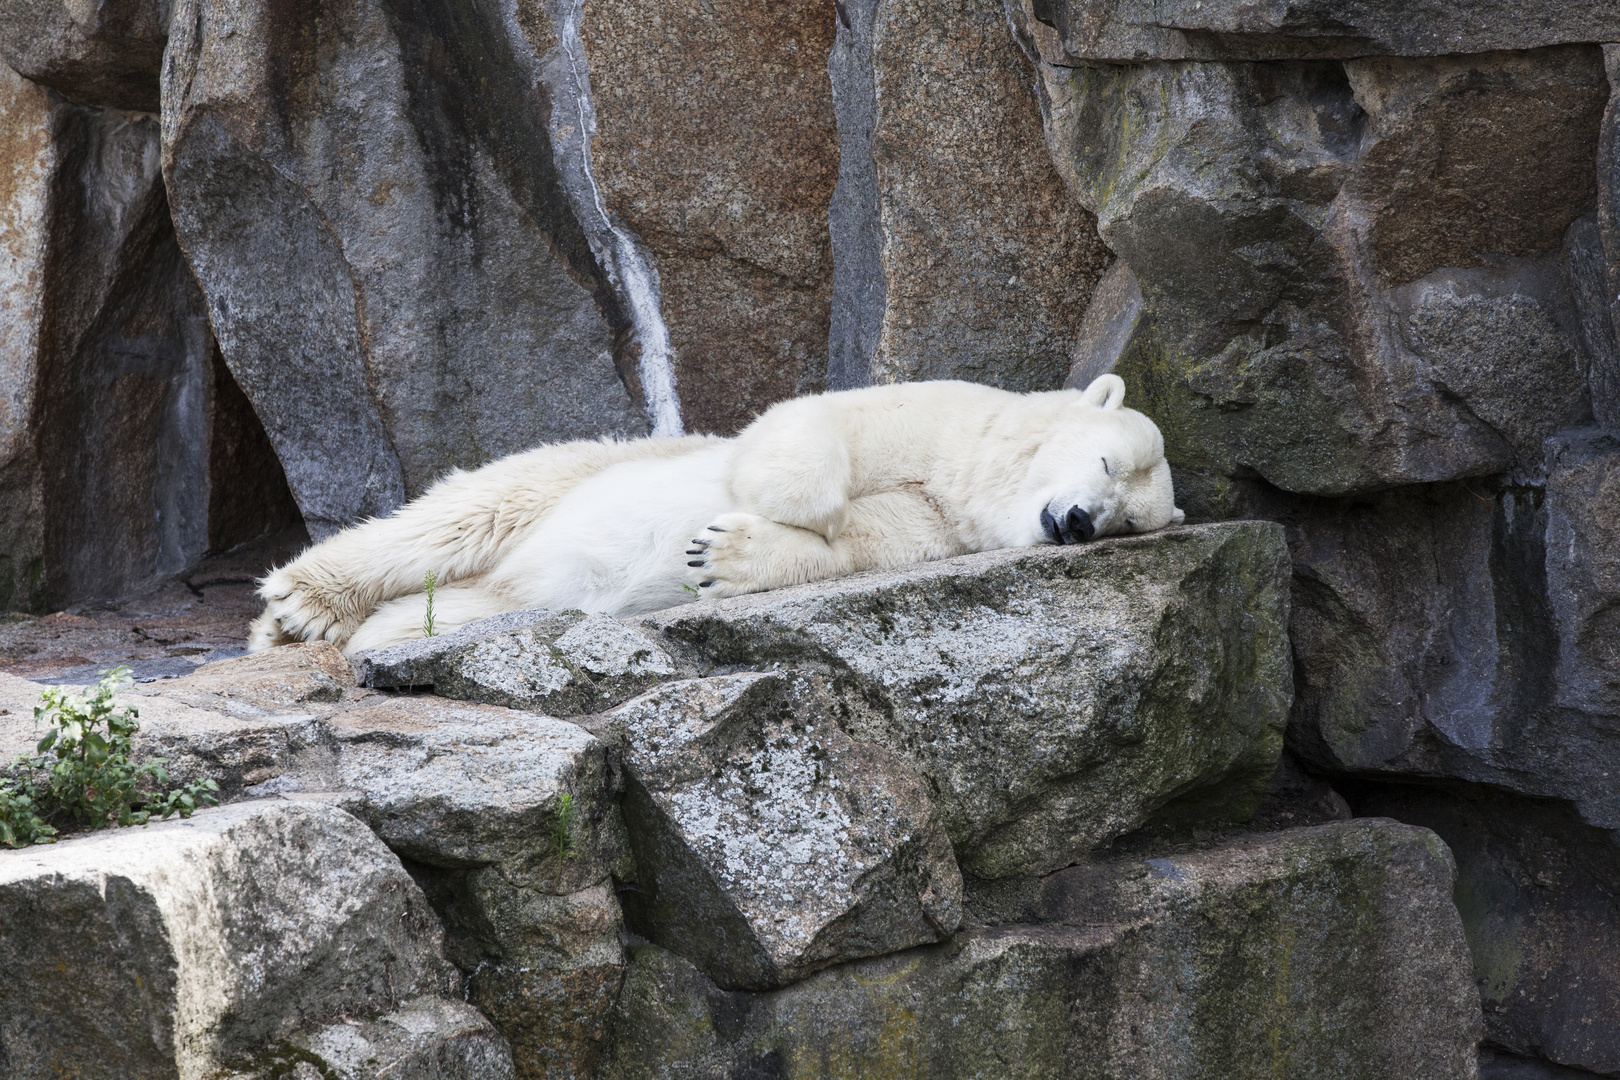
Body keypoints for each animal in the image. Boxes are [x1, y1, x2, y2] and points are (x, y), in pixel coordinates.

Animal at [255, 375, 1192, 654]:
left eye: (1127, 523)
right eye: (1107, 464)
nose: (1079, 522)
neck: (972, 477)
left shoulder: (941, 524)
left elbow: (872, 544)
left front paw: (723, 555)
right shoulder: (940, 418)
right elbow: (813, 425)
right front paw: (789, 505)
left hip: (505, 591)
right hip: (574, 471)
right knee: (459, 516)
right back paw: (301, 607)